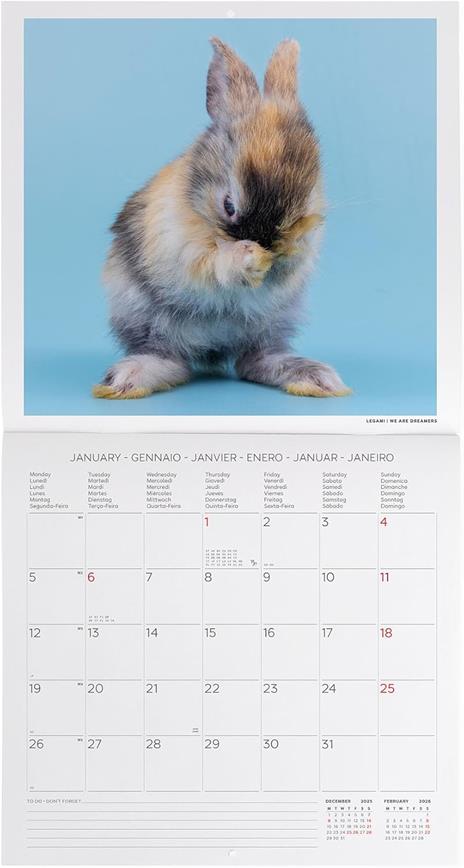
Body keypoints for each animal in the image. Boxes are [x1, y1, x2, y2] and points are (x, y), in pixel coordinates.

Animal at [93, 37, 350, 400]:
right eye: (229, 206)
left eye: (303, 201)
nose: (267, 243)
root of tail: (213, 348)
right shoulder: (182, 248)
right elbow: (212, 262)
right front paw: (247, 258)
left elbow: (292, 264)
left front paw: (278, 258)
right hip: (146, 318)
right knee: (173, 359)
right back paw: (127, 380)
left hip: (270, 325)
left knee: (252, 360)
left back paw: (314, 377)